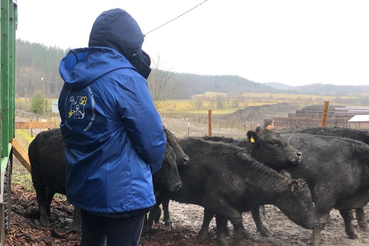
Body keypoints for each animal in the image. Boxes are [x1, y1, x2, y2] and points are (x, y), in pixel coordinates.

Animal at [28, 127, 184, 229]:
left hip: (50, 183)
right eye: (165, 163)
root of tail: (35, 140)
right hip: (37, 178)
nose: (178, 185)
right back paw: (44, 221)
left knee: (48, 197)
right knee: (40, 198)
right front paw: (77, 228)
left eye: (174, 159)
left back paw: (49, 216)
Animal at [167, 138, 316, 246]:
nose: (315, 224)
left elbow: (220, 220)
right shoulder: (214, 200)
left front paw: (221, 238)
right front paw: (233, 239)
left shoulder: (224, 203)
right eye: (306, 201)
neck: (240, 173)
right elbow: (235, 218)